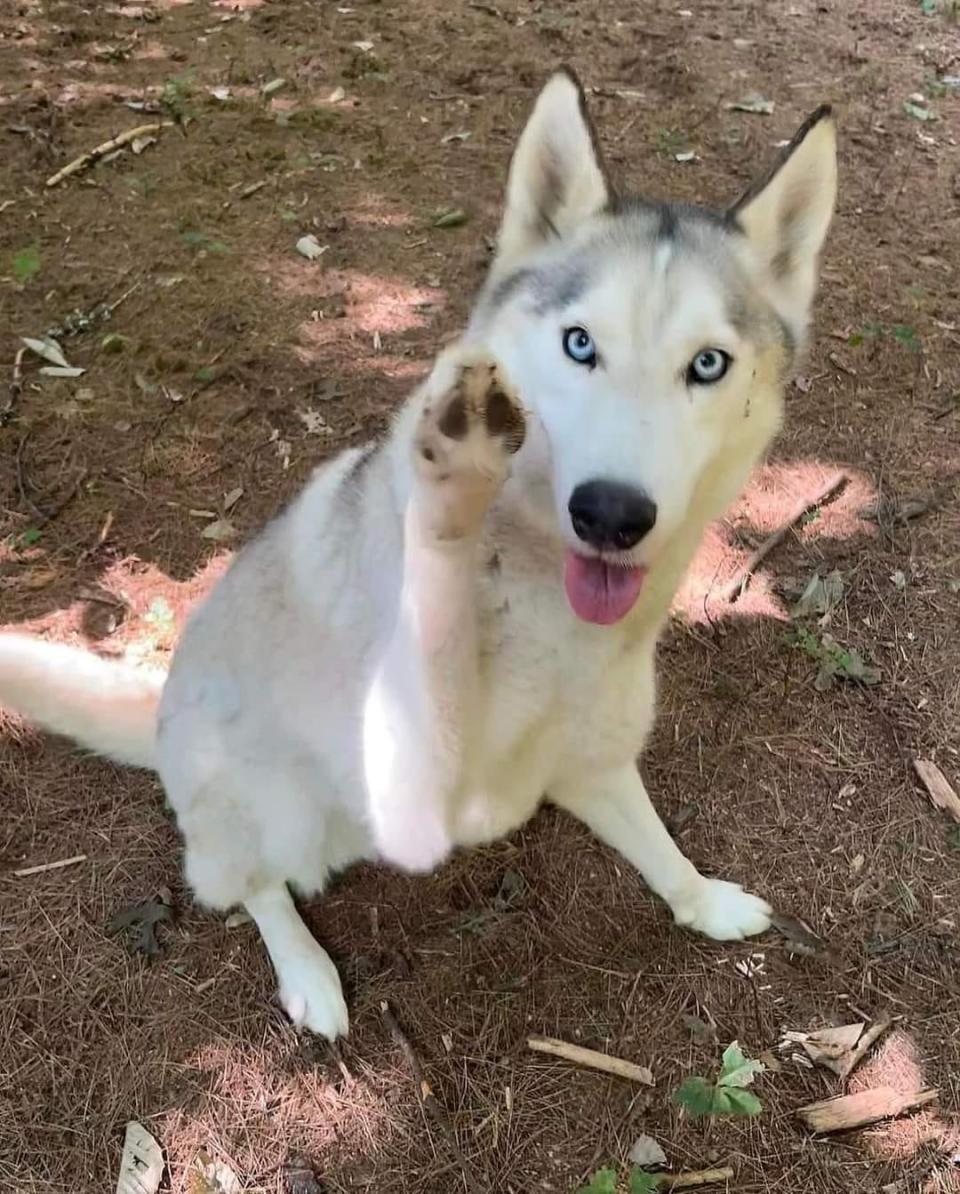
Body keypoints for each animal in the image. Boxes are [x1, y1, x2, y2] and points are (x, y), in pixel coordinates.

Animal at [0, 69, 835, 1036]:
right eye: (579, 344)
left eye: (707, 364)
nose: (611, 514)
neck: (538, 598)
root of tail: (163, 708)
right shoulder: (416, 767)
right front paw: (453, 483)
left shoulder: (597, 754)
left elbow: (658, 845)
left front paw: (703, 902)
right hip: (277, 806)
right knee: (251, 884)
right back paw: (307, 972)